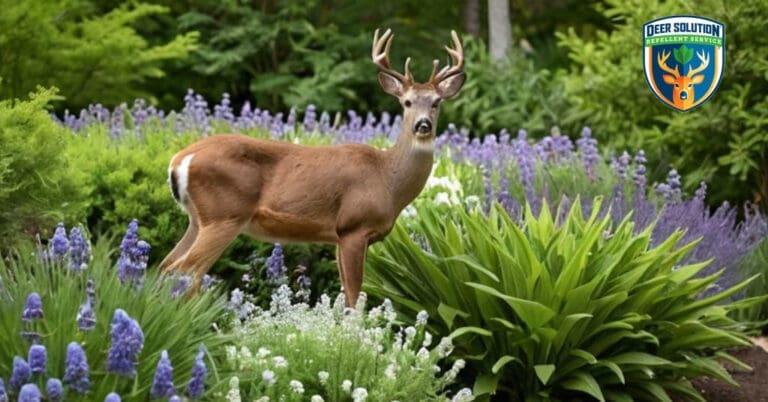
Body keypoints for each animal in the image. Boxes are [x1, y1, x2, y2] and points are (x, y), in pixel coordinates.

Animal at [159, 28, 465, 307]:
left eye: (437, 102)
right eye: (407, 102)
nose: (422, 125)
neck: (388, 180)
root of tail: (179, 159)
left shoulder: (339, 237)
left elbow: (346, 294)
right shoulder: (353, 226)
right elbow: (353, 298)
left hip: (198, 218)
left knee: (166, 267)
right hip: (225, 215)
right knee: (185, 271)